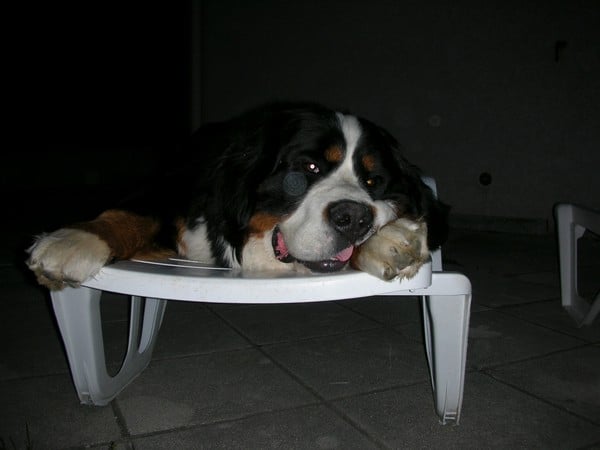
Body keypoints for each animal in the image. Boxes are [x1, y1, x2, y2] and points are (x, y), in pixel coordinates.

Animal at [27, 101, 449, 290]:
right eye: (310, 168)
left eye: (373, 181)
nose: (355, 219)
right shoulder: (171, 191)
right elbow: (132, 215)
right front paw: (72, 242)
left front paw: (388, 241)